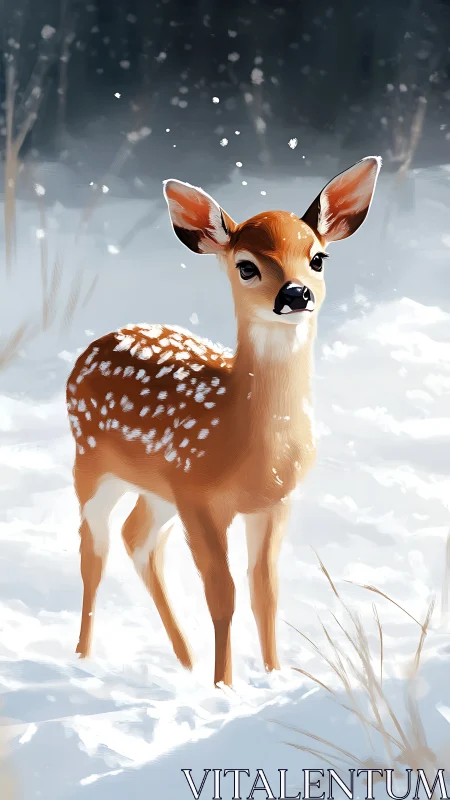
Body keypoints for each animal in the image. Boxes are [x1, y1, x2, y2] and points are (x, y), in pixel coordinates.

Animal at [66, 156, 381, 687]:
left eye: (318, 258)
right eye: (247, 266)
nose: (296, 293)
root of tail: (95, 343)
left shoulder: (274, 501)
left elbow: (264, 590)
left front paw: (274, 677)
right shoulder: (199, 495)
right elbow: (222, 593)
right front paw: (224, 687)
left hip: (157, 487)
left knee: (137, 538)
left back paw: (184, 659)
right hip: (90, 463)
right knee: (95, 550)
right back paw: (84, 659)